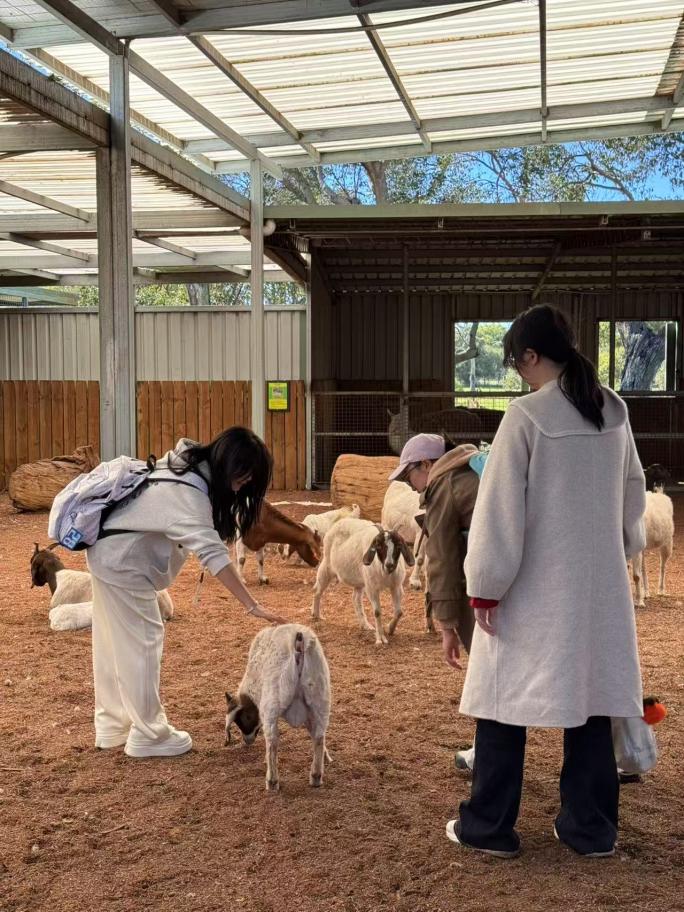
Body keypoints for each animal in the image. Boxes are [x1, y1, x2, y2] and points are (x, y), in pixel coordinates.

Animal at [224, 623, 331, 792]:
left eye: (243, 719)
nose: (247, 741)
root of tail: (298, 642)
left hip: (272, 704)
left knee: (272, 741)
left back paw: (272, 781)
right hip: (320, 699)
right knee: (319, 736)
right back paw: (316, 776)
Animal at [311, 518, 415, 646]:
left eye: (398, 545)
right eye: (379, 546)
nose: (389, 565)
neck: (383, 572)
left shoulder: (396, 586)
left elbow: (399, 612)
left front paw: (390, 629)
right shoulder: (372, 588)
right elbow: (377, 611)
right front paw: (380, 639)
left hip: (359, 581)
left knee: (355, 598)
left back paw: (365, 625)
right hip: (326, 567)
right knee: (317, 590)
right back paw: (316, 615)